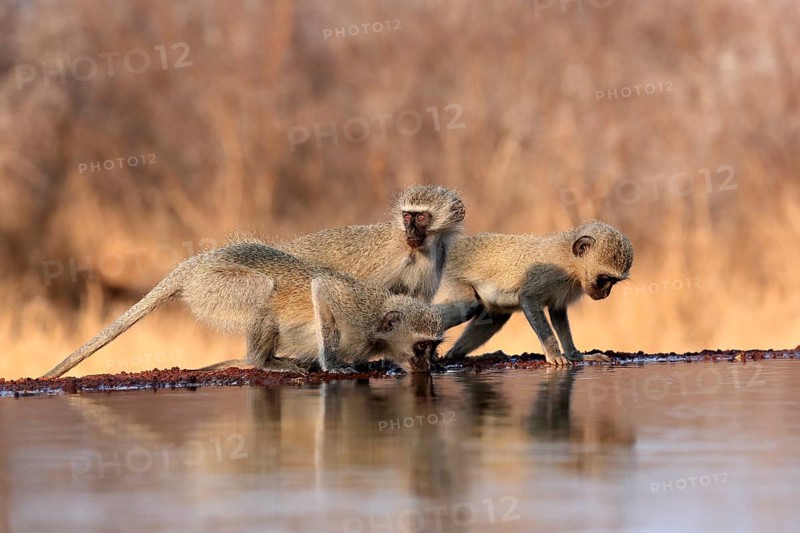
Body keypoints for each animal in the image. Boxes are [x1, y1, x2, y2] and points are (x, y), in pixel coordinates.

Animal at [41, 241, 444, 379]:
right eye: (422, 347)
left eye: (433, 348)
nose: (428, 367)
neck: (377, 329)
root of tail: (195, 264)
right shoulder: (355, 311)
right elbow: (321, 289)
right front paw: (332, 364)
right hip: (213, 288)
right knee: (262, 292)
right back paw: (261, 362)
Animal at [434, 220, 633, 366]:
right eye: (603, 279)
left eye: (613, 282)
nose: (605, 294)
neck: (570, 261)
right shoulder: (547, 275)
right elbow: (528, 299)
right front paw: (554, 355)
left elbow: (557, 313)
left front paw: (575, 355)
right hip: (449, 280)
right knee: (468, 305)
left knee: (496, 316)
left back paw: (457, 354)